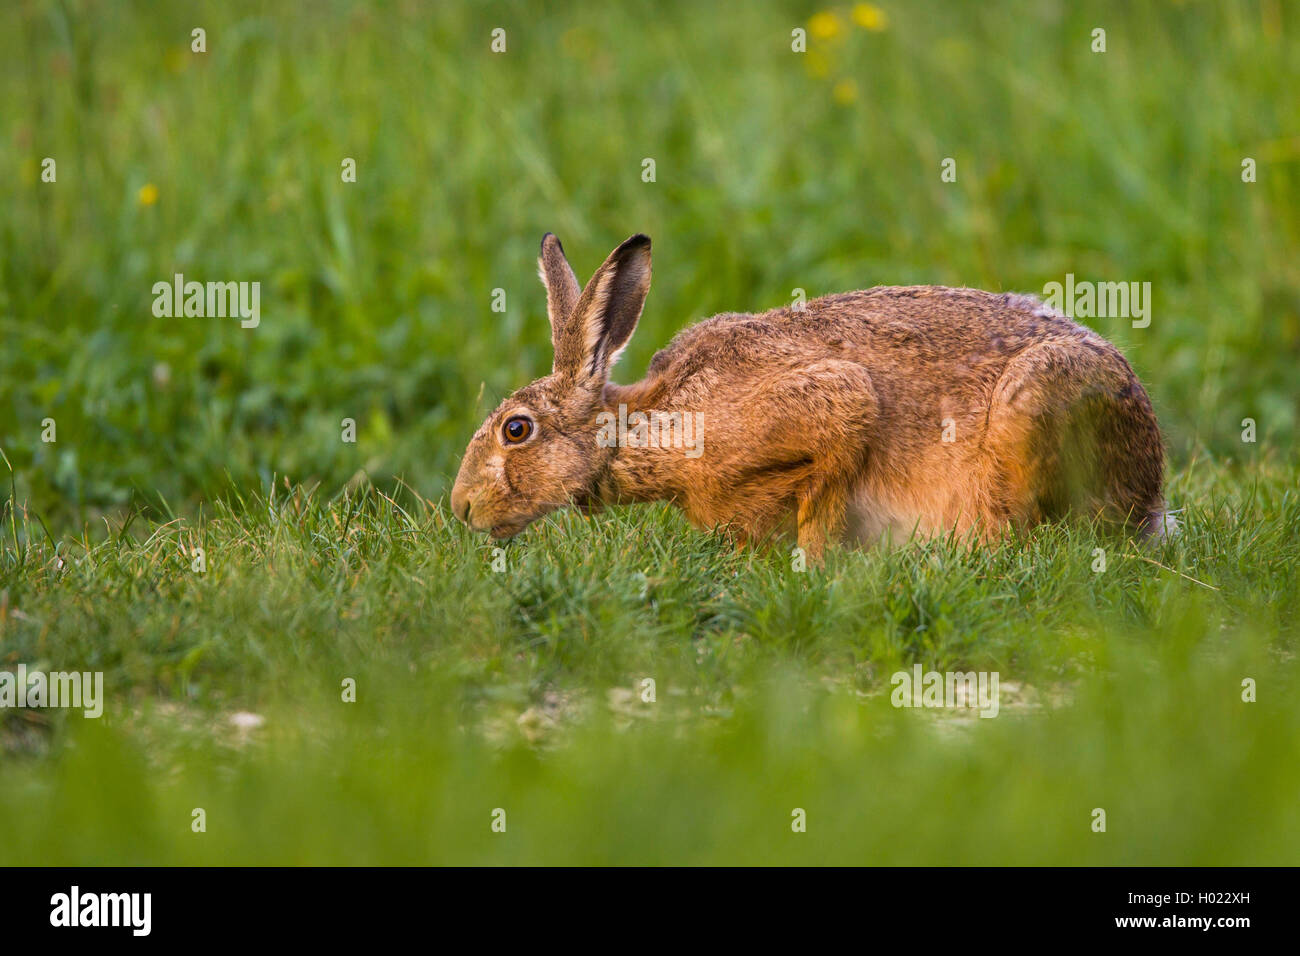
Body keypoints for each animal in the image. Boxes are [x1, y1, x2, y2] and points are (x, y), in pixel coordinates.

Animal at [450, 233, 1169, 562]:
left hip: (1036, 404)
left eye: (517, 430)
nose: (461, 508)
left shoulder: (839, 403)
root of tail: (1152, 494)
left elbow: (825, 492)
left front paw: (817, 567)